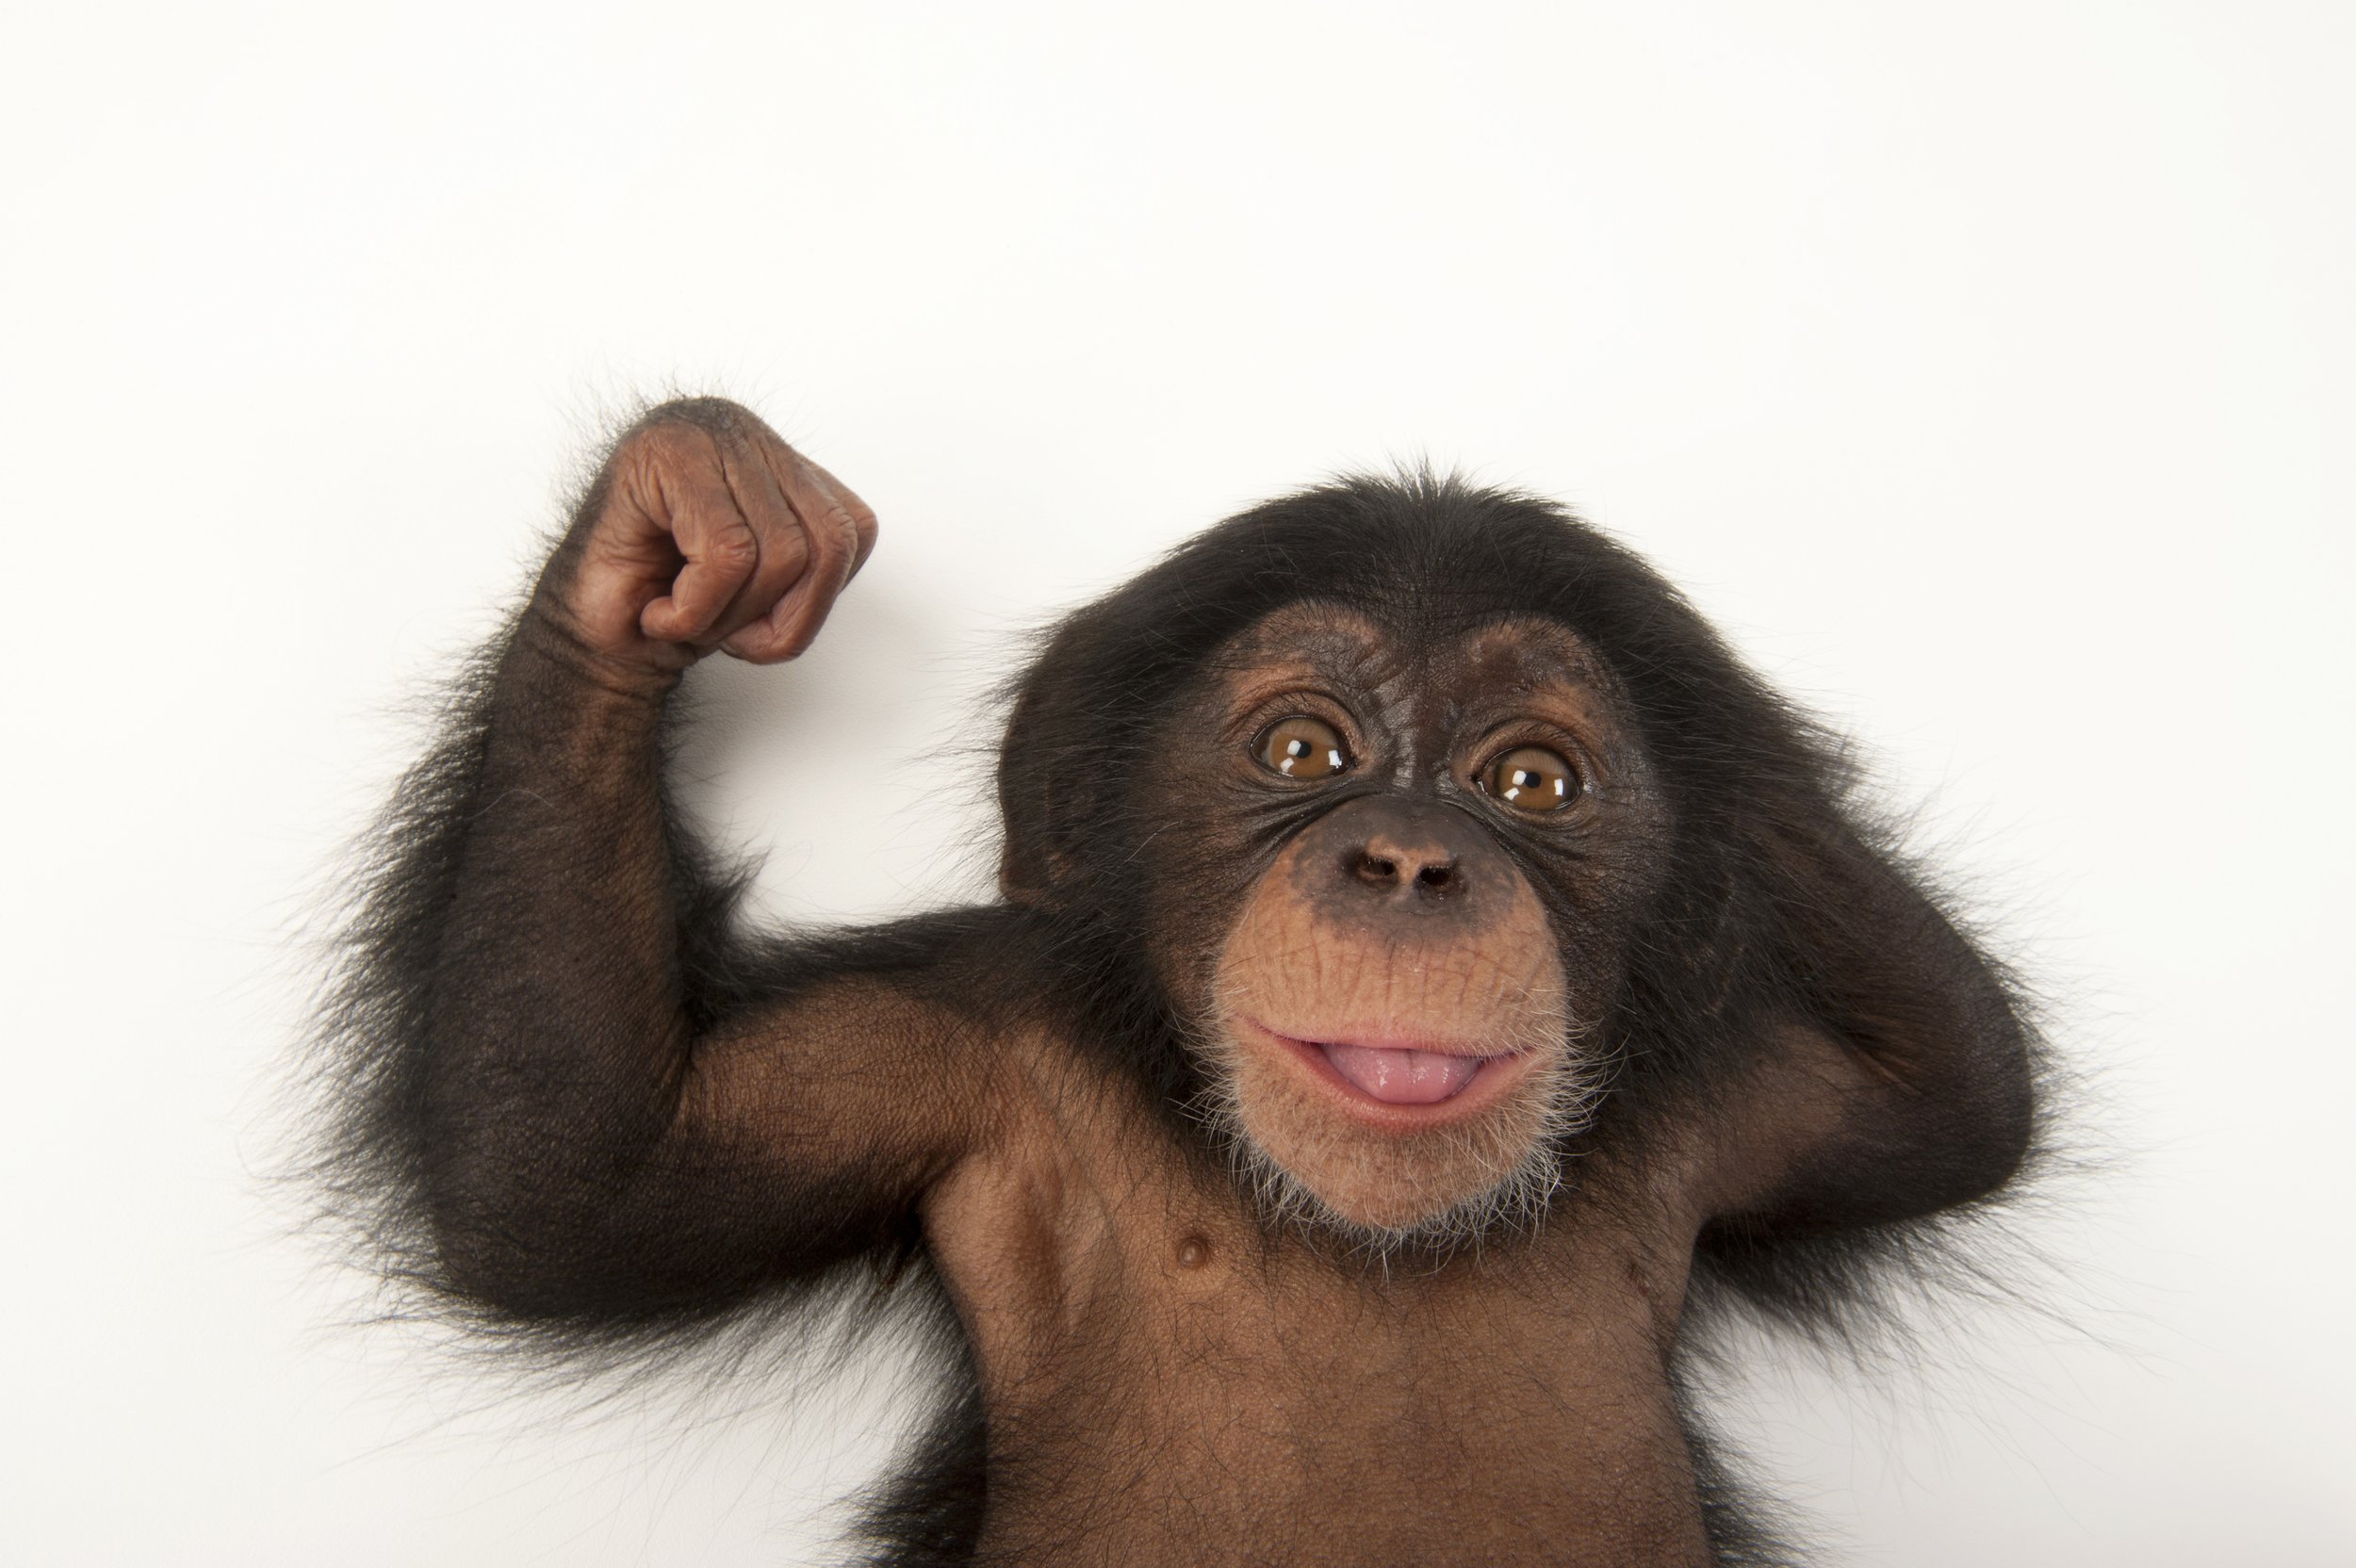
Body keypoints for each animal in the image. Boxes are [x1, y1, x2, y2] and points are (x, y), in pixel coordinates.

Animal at [309, 396, 2039, 1566]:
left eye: (1533, 782)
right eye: (1304, 753)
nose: (1409, 859)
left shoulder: (1739, 1106)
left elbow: (1954, 1105)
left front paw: (1757, 764)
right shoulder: (947, 1051)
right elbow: (579, 1169)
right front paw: (673, 526)